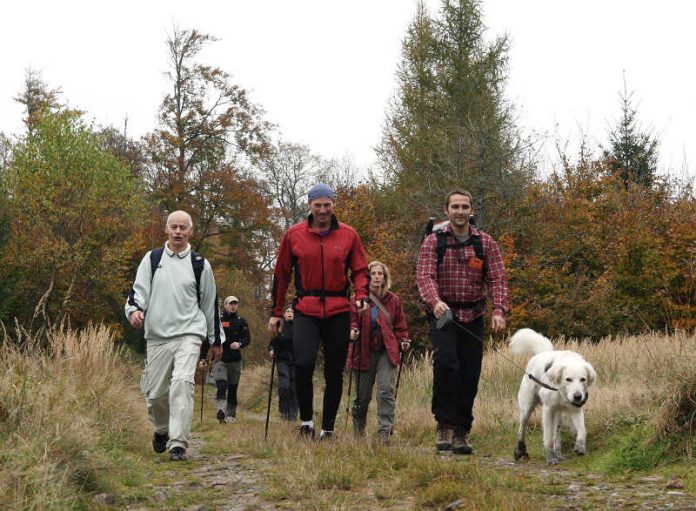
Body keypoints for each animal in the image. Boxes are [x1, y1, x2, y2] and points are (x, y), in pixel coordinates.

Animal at [508, 330, 596, 466]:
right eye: (568, 379)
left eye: (583, 379)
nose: (577, 396)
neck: (561, 392)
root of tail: (541, 354)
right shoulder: (548, 410)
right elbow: (548, 437)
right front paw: (550, 458)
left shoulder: (576, 410)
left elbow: (582, 430)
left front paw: (580, 446)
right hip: (527, 408)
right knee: (521, 429)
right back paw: (520, 450)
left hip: (558, 415)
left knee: (557, 433)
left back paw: (558, 453)